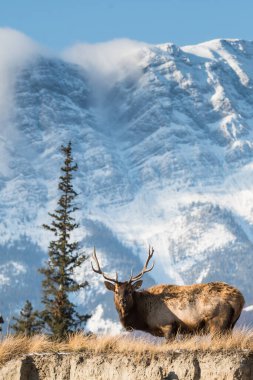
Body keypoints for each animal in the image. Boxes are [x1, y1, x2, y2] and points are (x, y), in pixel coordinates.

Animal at [92, 248, 244, 340]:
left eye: (130, 291)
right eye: (116, 291)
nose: (122, 301)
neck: (144, 317)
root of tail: (240, 299)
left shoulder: (168, 325)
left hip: (217, 323)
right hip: (230, 325)